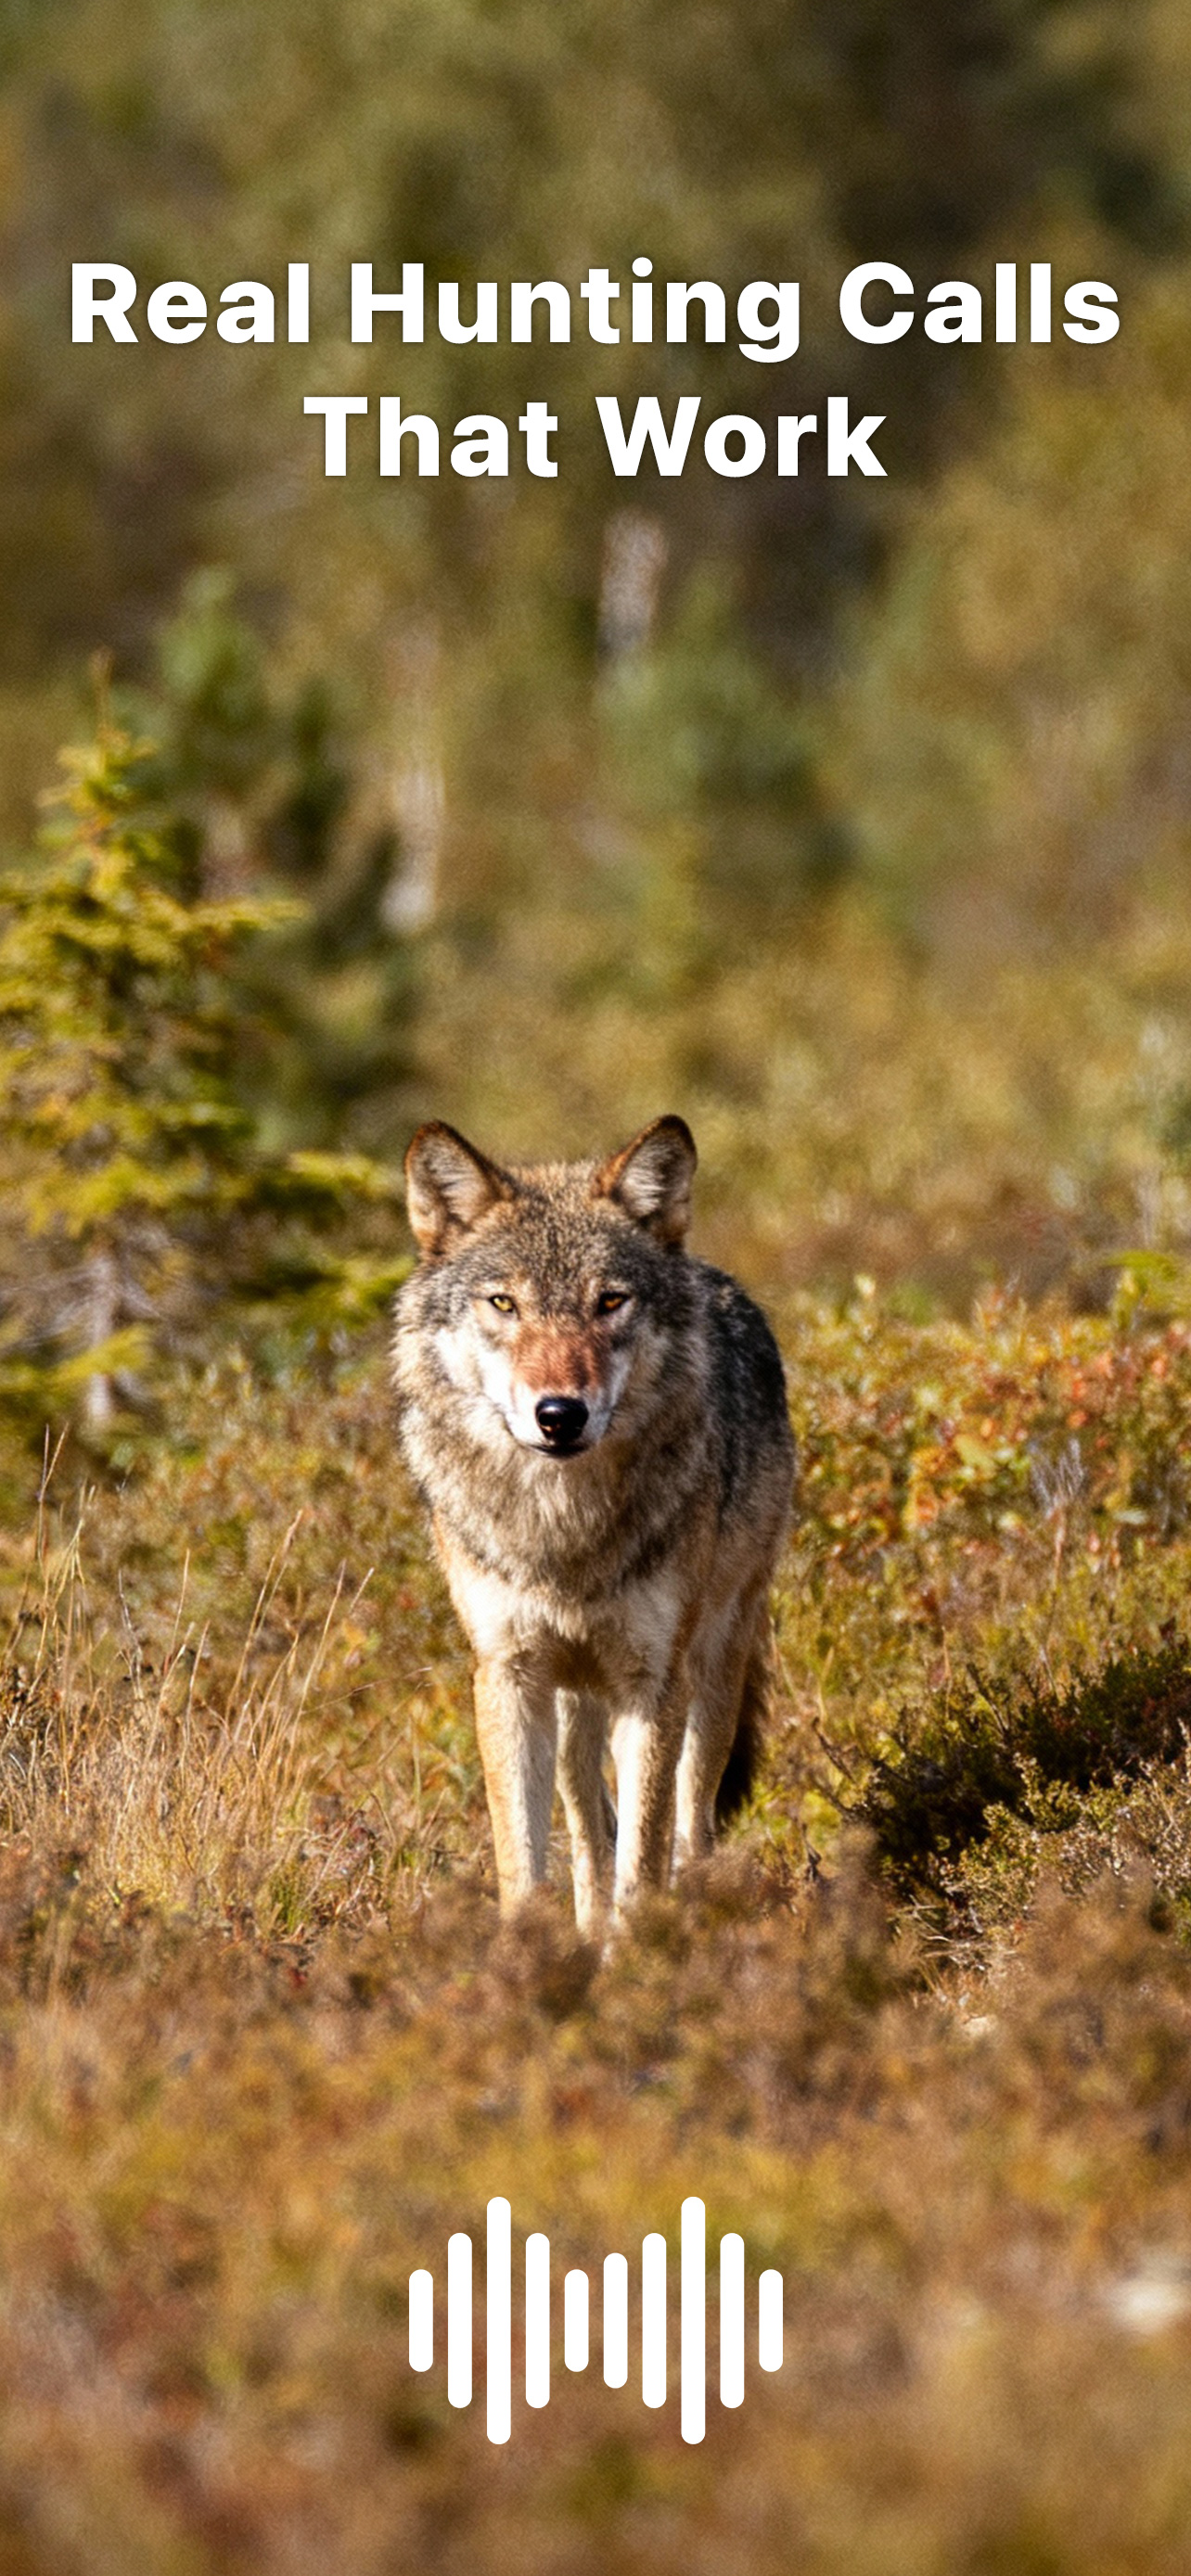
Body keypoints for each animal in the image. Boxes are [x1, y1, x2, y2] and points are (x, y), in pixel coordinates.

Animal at [392, 1115, 795, 1937]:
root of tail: (715, 1275)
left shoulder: (653, 1680)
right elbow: (527, 1866)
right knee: (588, 1832)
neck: (563, 1536)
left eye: (610, 1301)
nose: (558, 1414)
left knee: (690, 1825)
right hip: (575, 1700)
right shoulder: (508, 1675)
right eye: (504, 1304)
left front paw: (637, 1959)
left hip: (715, 1665)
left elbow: (644, 1861)